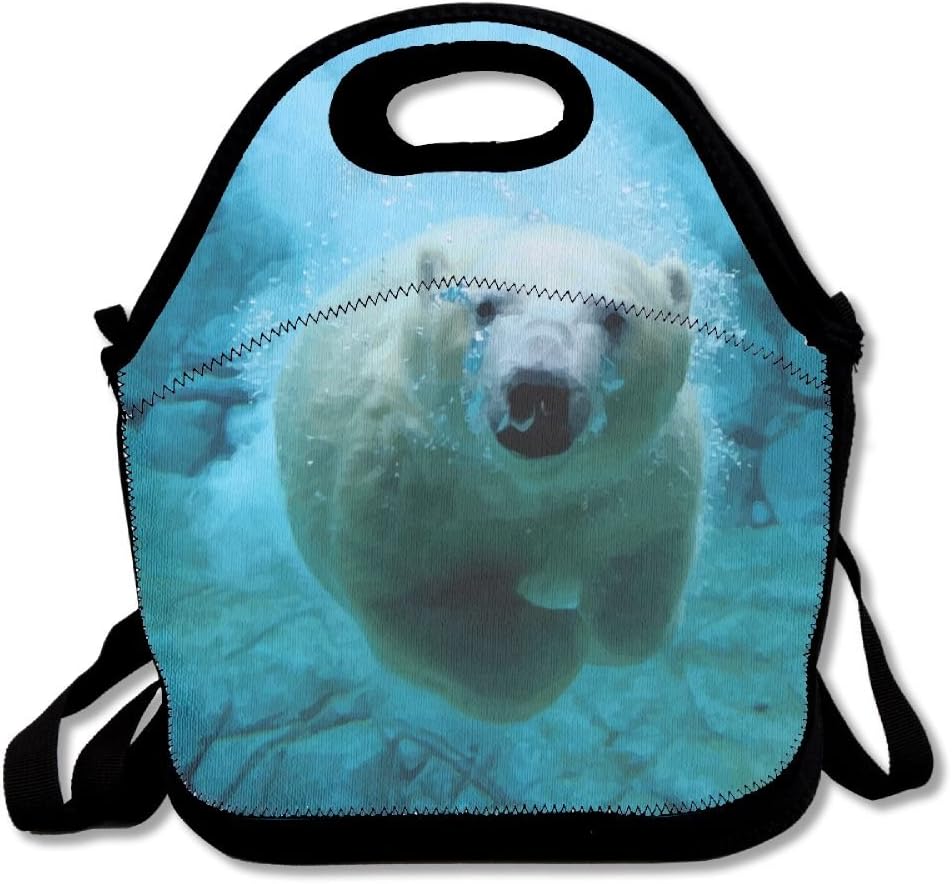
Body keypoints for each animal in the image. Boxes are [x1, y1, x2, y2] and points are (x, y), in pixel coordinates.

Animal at [274, 217, 703, 723]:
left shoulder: (640, 478)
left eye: (616, 316)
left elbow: (643, 562)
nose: (540, 388)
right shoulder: (402, 482)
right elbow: (417, 599)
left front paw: (605, 623)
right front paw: (558, 638)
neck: (518, 487)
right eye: (483, 306)